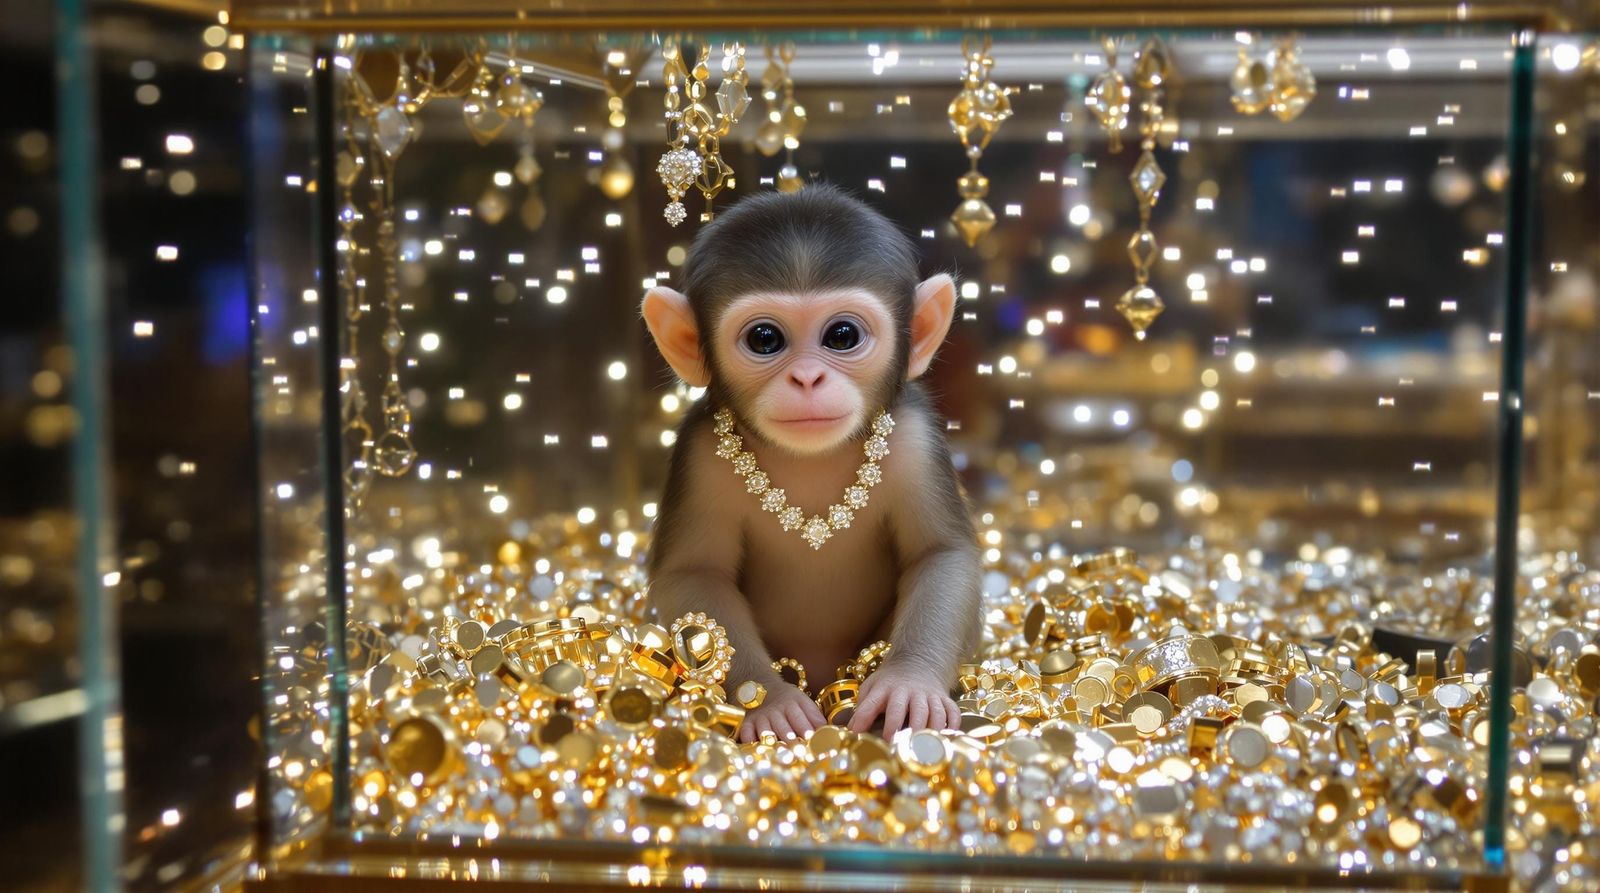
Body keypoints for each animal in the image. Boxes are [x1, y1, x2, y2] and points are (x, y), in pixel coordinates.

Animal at [640, 181, 982, 743]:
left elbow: (942, 555)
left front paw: (908, 684)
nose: (806, 379)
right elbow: (695, 577)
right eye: (765, 339)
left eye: (842, 336)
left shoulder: (916, 440)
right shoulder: (698, 453)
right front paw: (769, 702)